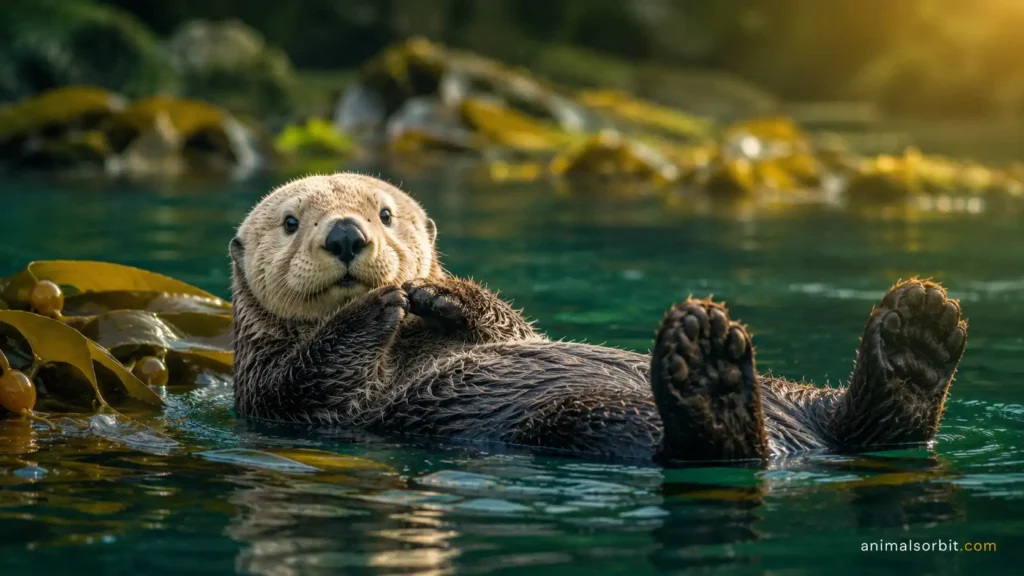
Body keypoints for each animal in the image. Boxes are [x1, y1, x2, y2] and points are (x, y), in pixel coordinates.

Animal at [229, 173, 968, 463]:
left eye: (385, 214)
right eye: (292, 222)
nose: (347, 236)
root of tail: (800, 449)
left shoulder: (507, 329)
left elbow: (507, 325)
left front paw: (437, 293)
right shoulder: (270, 388)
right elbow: (307, 378)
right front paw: (377, 305)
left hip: (799, 392)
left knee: (864, 423)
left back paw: (920, 333)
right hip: (583, 418)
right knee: (715, 449)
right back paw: (709, 375)